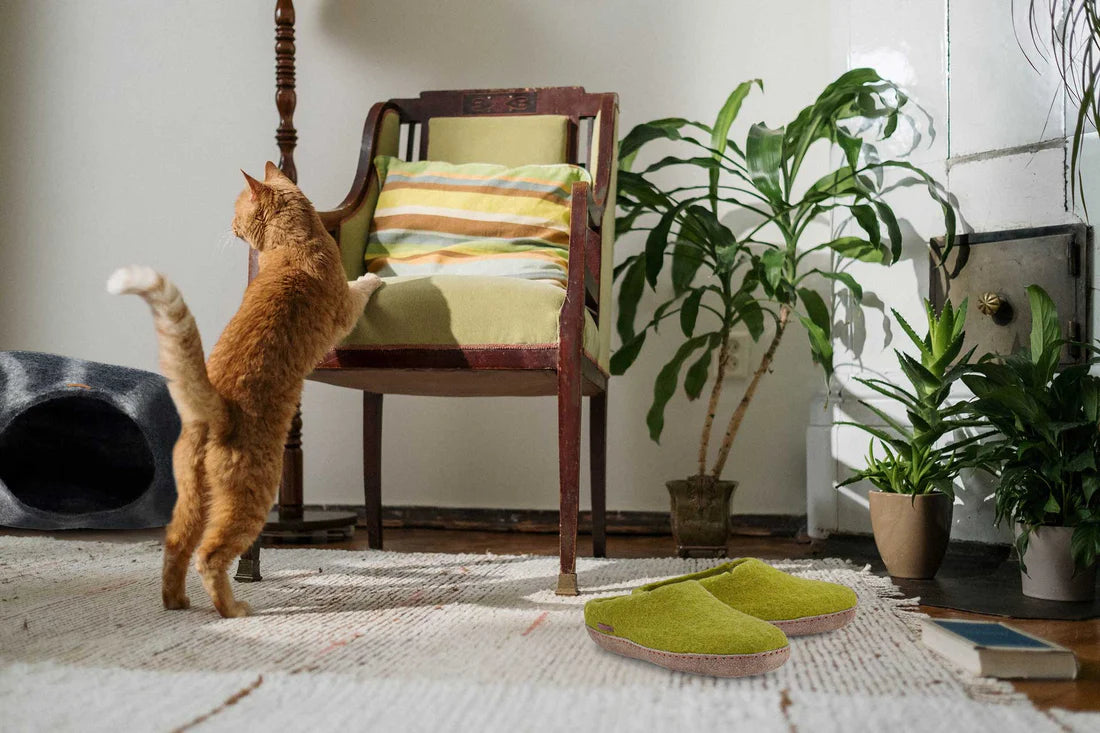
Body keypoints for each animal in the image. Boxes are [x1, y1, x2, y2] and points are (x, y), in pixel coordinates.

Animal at [107, 162, 382, 611]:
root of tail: (214, 407)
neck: (294, 239)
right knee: (209, 555)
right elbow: (361, 287)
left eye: (235, 211)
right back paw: (234, 609)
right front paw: (374, 277)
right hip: (253, 496)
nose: (230, 225)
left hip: (192, 498)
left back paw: (176, 603)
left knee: (175, 545)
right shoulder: (346, 310)